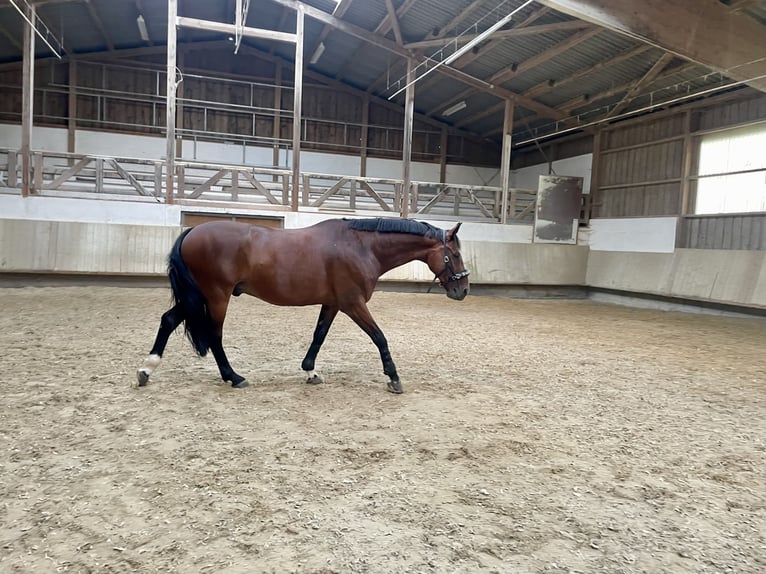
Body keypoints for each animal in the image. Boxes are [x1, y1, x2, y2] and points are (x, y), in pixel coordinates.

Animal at [140, 217, 474, 396]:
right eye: (456, 255)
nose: (463, 290)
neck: (361, 246)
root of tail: (192, 232)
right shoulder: (353, 303)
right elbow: (380, 337)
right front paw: (393, 378)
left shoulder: (333, 303)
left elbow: (319, 335)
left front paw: (310, 371)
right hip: (215, 296)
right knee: (215, 336)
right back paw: (233, 377)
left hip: (197, 298)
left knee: (168, 320)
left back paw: (146, 369)